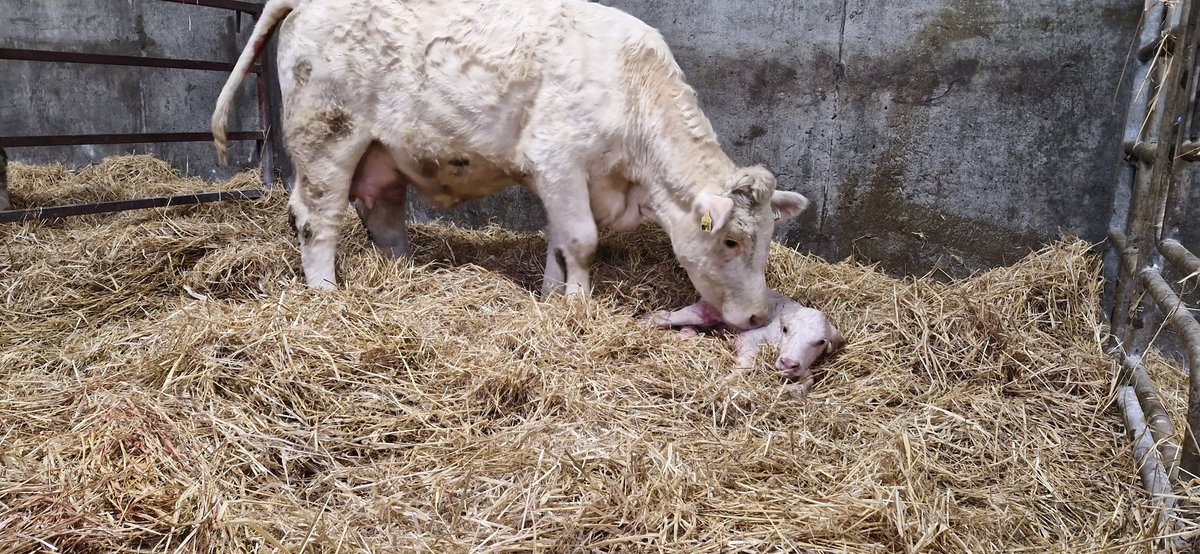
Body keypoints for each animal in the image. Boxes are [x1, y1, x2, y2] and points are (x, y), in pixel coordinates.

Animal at [211, 0, 810, 329]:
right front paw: (577, 308)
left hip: (381, 155)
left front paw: (550, 297)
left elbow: (560, 242)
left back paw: (404, 274)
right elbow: (583, 241)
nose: (758, 316)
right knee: (317, 218)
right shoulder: (559, 159)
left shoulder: (567, 180)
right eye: (730, 241)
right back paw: (326, 294)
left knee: (382, 217)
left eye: (766, 240)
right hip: (326, 136)